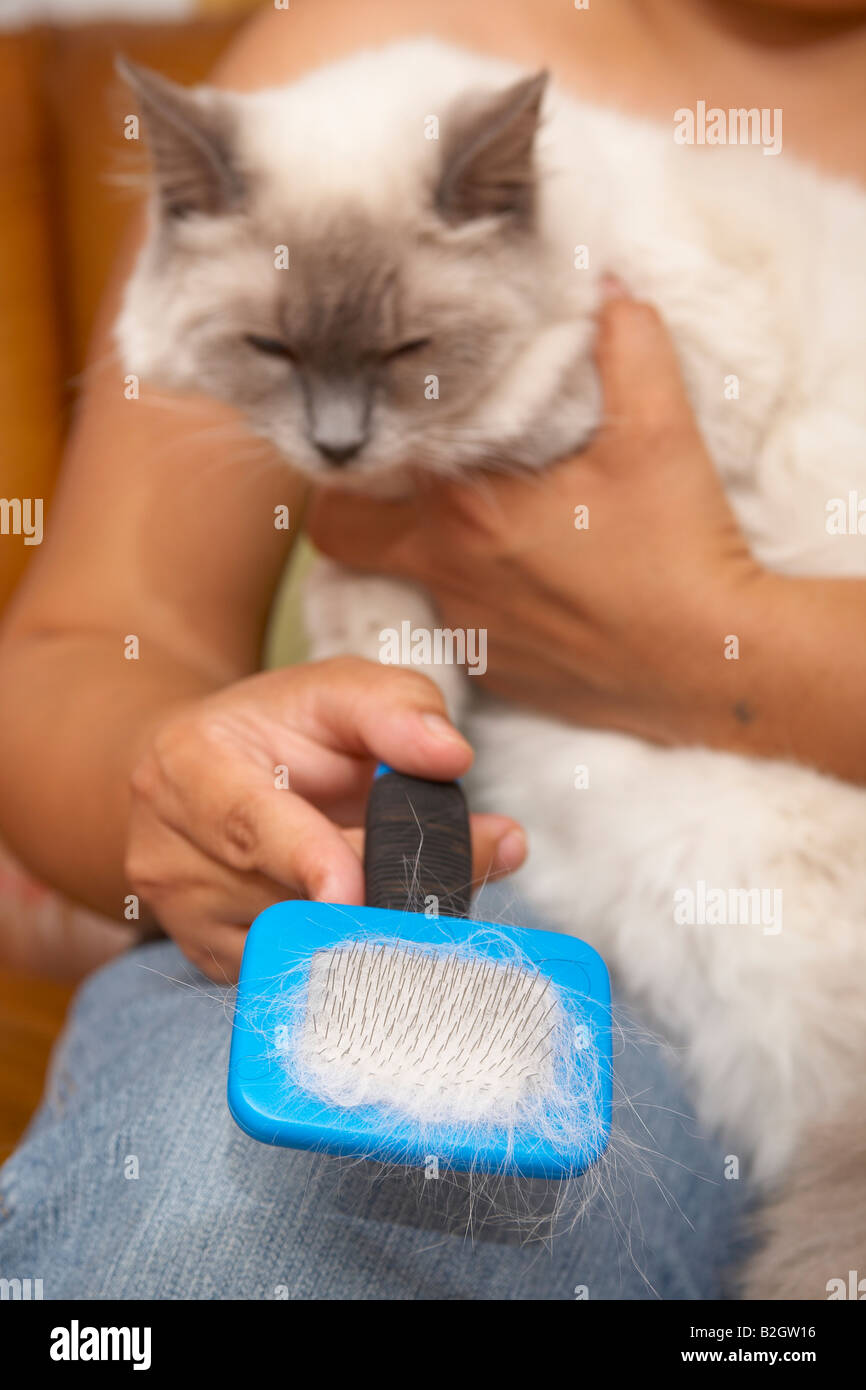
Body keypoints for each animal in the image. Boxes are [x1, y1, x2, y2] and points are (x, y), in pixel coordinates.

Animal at [116, 38, 866, 1295]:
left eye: (406, 353)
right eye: (272, 349)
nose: (336, 443)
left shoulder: (640, 376)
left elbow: (503, 430)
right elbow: (378, 636)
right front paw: (407, 688)